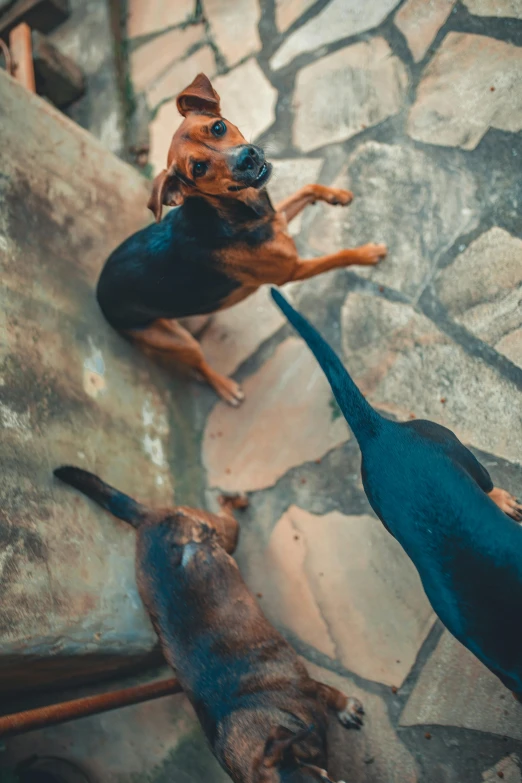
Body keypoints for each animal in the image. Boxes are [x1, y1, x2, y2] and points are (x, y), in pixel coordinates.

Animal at [52, 468, 362, 783]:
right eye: (326, 781)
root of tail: (148, 517)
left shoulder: (315, 689)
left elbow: (336, 696)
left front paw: (347, 708)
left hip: (224, 532)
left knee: (226, 508)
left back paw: (236, 498)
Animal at [96, 73, 386, 408]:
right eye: (198, 168)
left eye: (218, 127)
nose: (247, 158)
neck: (233, 213)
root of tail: (99, 292)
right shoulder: (291, 271)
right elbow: (338, 256)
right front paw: (368, 253)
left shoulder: (277, 219)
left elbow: (308, 188)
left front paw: (338, 195)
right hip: (173, 340)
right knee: (200, 366)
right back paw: (226, 387)